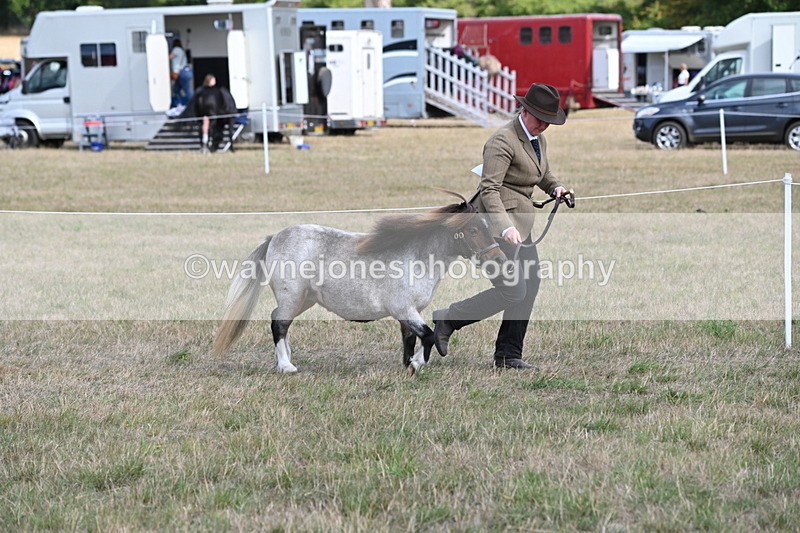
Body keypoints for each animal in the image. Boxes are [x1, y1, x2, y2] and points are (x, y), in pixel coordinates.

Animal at [212, 193, 507, 375]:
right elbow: (429, 335)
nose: (499, 259)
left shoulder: (409, 314)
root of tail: (275, 237)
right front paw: (416, 365)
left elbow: (411, 338)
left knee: (280, 322)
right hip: (292, 297)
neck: (417, 256)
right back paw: (286, 367)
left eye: (487, 226)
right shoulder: (404, 310)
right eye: (472, 230)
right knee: (279, 324)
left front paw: (408, 364)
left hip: (303, 300)